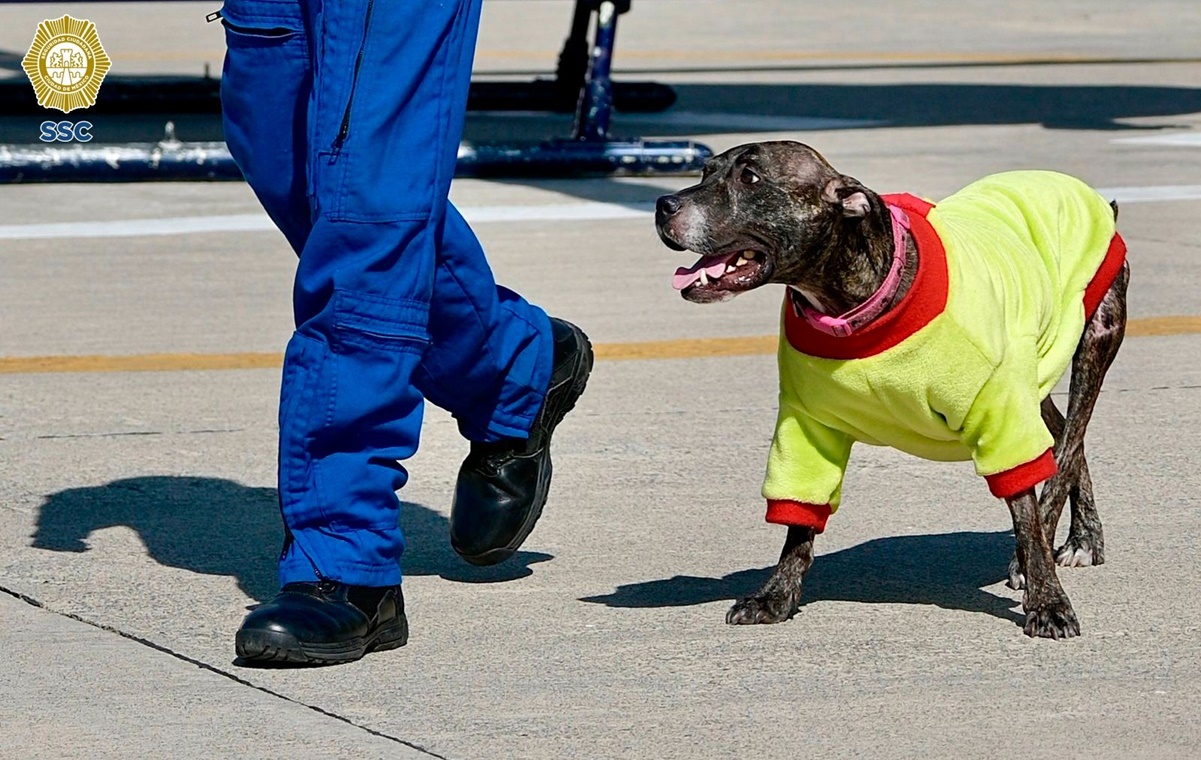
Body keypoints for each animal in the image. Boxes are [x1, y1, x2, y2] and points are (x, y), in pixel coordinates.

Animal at [653, 139, 1128, 638]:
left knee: (1069, 443)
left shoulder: (1000, 413)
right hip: (1034, 374)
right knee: (1065, 435)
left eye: (751, 178)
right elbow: (799, 520)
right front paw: (775, 595)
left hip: (1094, 338)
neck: (857, 303)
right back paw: (1083, 536)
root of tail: (1083, 192)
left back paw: (1063, 544)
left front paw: (1048, 600)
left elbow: (1026, 510)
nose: (663, 204)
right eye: (705, 171)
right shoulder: (806, 429)